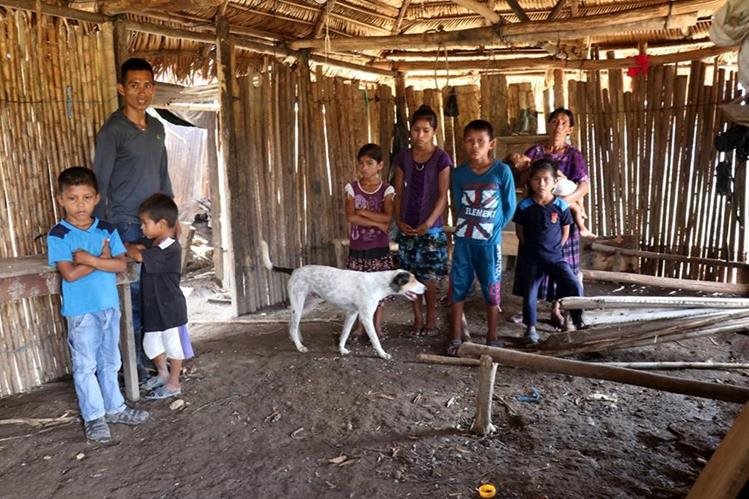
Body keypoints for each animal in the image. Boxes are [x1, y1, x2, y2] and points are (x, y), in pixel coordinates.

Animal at [258, 241, 424, 360]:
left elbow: (344, 334)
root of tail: (294, 270)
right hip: (298, 304)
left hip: (309, 305)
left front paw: (341, 349)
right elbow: (375, 340)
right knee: (293, 324)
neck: (380, 283)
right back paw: (299, 346)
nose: (425, 288)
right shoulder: (365, 317)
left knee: (291, 322)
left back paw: (296, 339)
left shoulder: (352, 314)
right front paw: (383, 354)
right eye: (412, 281)